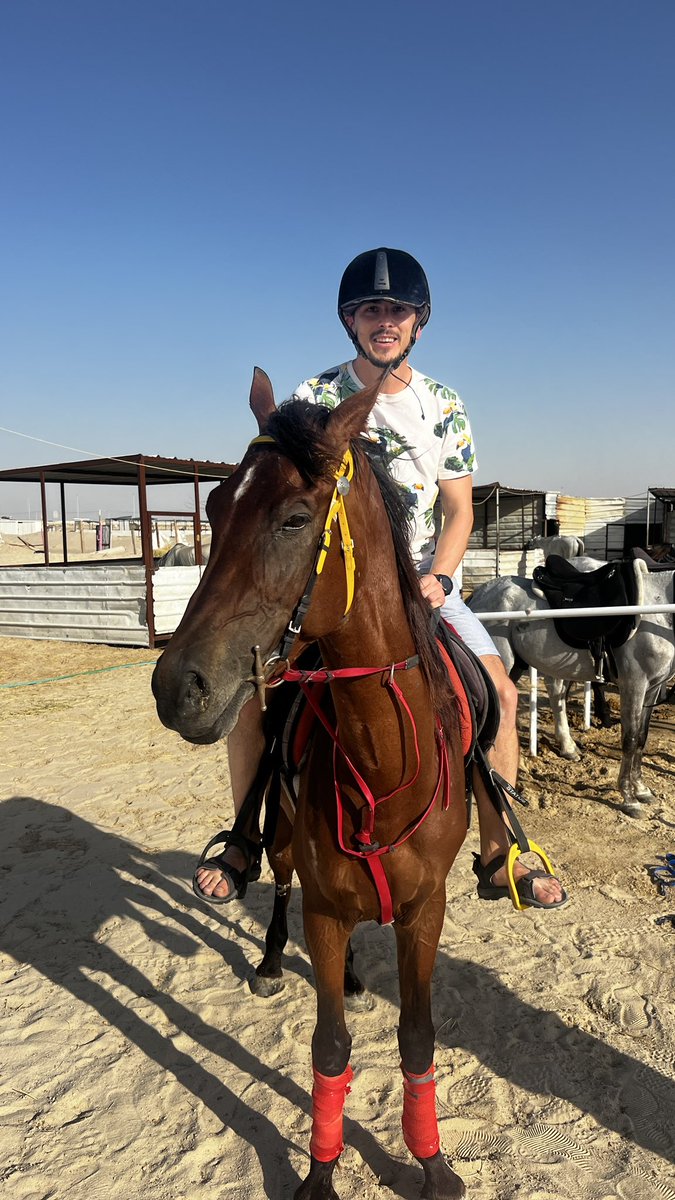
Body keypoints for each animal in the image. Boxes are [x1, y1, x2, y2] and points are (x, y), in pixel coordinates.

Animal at [152, 369, 469, 1200]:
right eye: (212, 507)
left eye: (294, 518)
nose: (175, 687)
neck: (384, 762)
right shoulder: (325, 910)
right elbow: (329, 1047)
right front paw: (320, 1171)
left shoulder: (425, 909)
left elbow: (417, 1037)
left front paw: (431, 1163)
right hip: (288, 837)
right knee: (280, 873)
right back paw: (268, 960)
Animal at [468, 559, 675, 816]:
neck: (658, 613)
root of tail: (478, 595)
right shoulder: (634, 685)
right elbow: (630, 739)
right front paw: (629, 798)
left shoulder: (652, 689)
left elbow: (642, 738)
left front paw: (641, 789)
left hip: (514, 669)